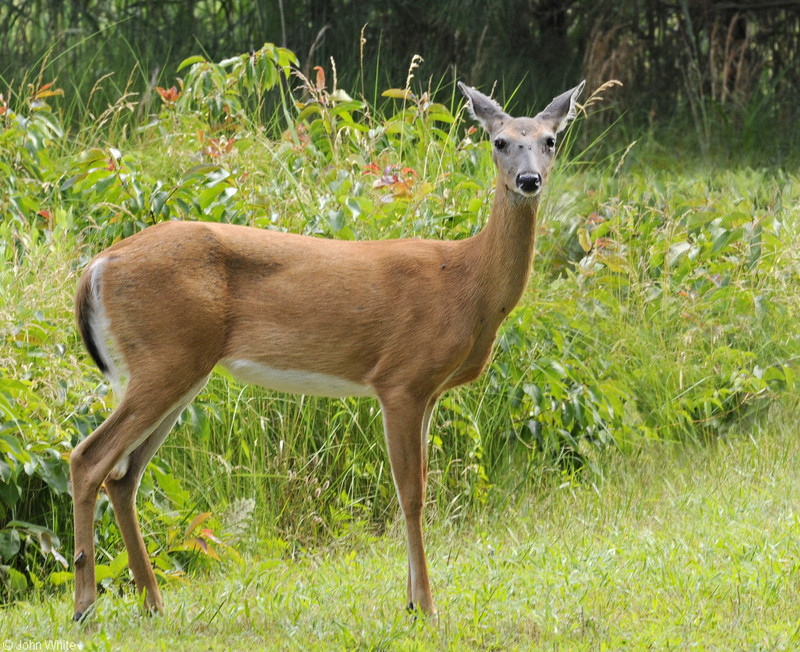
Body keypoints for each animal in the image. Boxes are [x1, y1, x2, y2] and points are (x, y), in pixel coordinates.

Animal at [70, 79, 580, 620]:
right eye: (500, 141)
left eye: (549, 140)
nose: (528, 180)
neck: (467, 282)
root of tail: (97, 266)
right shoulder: (400, 379)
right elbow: (412, 493)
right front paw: (425, 605)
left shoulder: (429, 391)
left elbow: (416, 487)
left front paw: (410, 600)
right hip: (166, 358)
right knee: (88, 458)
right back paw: (85, 605)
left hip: (180, 368)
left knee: (123, 476)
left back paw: (153, 603)